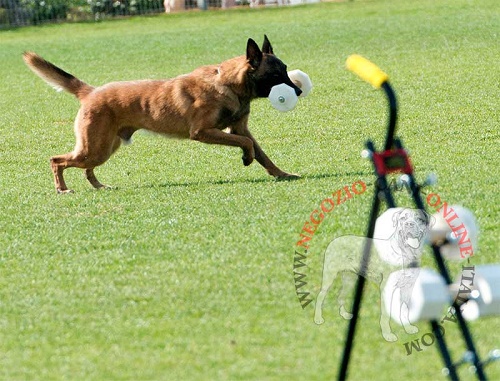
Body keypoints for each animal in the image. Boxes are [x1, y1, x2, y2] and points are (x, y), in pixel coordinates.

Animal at [23, 35, 300, 193]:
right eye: (276, 75)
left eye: (286, 69)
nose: (298, 90)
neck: (229, 84)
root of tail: (90, 92)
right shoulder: (202, 132)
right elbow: (246, 144)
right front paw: (246, 158)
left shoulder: (239, 127)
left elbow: (261, 152)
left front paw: (281, 174)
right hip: (95, 148)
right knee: (56, 160)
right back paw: (62, 189)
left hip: (103, 148)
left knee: (86, 168)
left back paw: (100, 186)